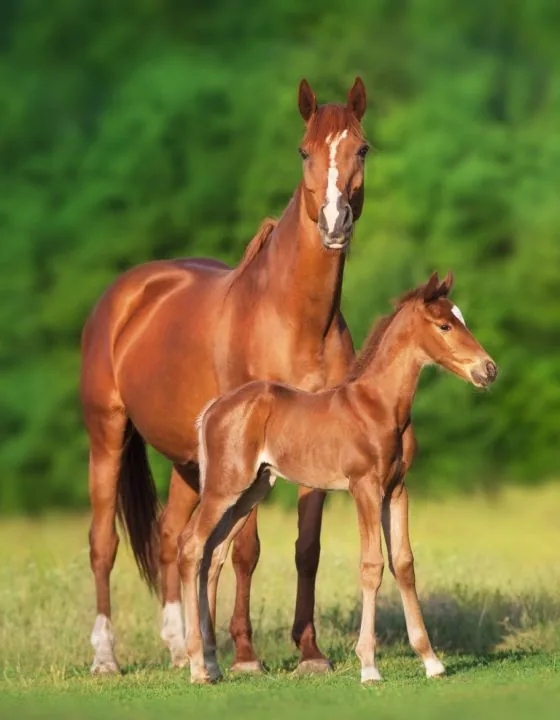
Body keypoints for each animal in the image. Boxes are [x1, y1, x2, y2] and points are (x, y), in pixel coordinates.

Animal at [80, 77, 369, 674]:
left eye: (362, 149)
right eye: (304, 151)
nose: (334, 223)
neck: (291, 317)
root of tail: (125, 294)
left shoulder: (315, 440)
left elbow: (306, 550)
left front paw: (309, 652)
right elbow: (245, 549)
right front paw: (244, 654)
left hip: (190, 462)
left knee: (171, 538)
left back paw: (178, 646)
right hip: (107, 434)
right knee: (103, 544)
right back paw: (106, 657)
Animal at [180, 272, 498, 684]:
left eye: (462, 319)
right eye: (445, 325)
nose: (488, 370)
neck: (379, 406)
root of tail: (214, 408)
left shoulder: (396, 490)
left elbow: (404, 564)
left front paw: (431, 661)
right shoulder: (364, 487)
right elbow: (372, 566)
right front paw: (368, 666)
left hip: (251, 491)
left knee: (214, 553)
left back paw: (213, 664)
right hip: (224, 487)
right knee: (191, 546)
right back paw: (196, 666)